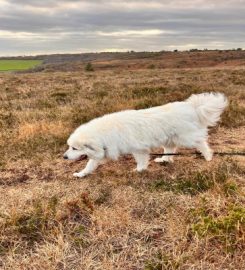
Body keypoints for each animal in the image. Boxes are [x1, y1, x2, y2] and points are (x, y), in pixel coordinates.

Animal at [63, 92, 228, 178]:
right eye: (70, 147)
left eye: (74, 148)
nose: (64, 157)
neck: (103, 134)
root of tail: (192, 107)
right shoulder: (103, 151)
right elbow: (89, 165)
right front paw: (81, 174)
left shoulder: (139, 149)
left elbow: (141, 161)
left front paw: (139, 171)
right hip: (169, 139)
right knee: (170, 151)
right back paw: (164, 160)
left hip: (186, 137)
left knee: (201, 142)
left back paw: (208, 156)